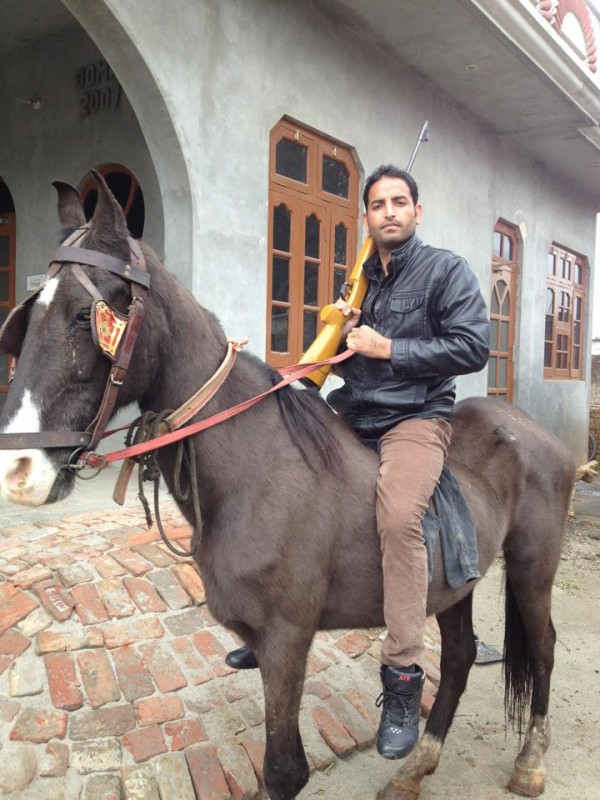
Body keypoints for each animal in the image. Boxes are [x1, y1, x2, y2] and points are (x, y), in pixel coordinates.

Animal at [0, 177, 576, 800]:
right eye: (25, 319)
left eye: (85, 316)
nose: (18, 470)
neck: (255, 473)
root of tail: (535, 434)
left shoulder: (285, 641)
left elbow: (283, 770)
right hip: (453, 584)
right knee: (462, 656)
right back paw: (418, 764)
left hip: (531, 568)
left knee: (543, 648)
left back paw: (530, 759)